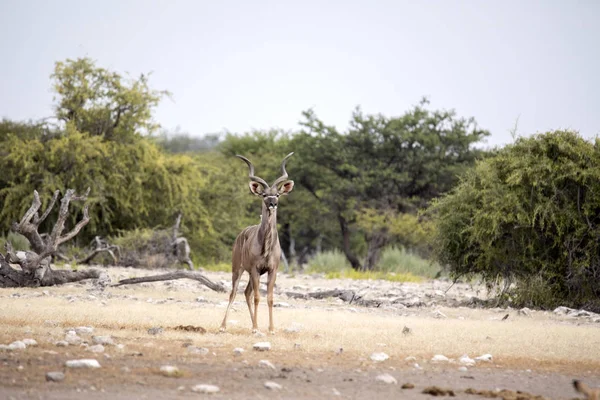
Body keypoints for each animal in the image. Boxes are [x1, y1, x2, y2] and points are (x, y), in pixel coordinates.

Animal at [220, 152, 296, 332]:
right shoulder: (255, 269)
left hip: (250, 273)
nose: (273, 204)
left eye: (277, 194)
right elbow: (257, 297)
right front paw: (255, 328)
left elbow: (269, 298)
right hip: (237, 269)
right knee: (234, 292)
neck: (266, 246)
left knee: (246, 292)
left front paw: (271, 328)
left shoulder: (272, 270)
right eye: (264, 195)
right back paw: (223, 326)